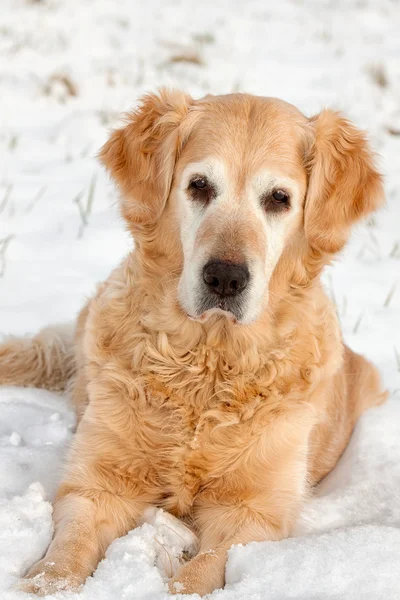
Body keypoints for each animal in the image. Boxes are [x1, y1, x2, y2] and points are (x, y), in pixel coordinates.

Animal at [0, 90, 388, 596]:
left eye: (279, 199)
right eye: (199, 186)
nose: (225, 277)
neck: (208, 360)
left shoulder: (252, 511)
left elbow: (202, 571)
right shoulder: (100, 483)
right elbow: (67, 551)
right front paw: (45, 585)